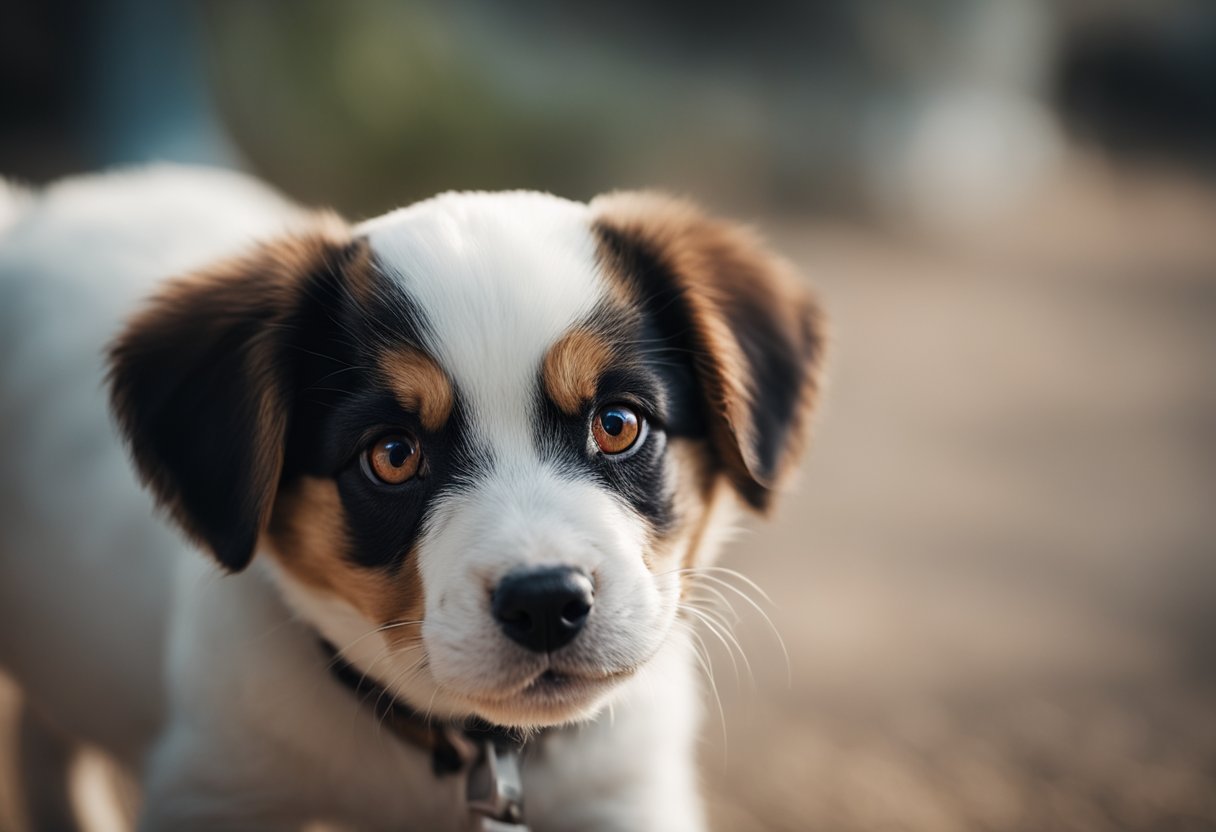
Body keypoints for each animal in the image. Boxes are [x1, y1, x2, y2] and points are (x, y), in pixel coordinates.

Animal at [0, 165, 826, 827]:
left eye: (618, 424)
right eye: (393, 456)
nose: (546, 604)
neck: (468, 754)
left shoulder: (622, 796)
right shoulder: (221, 785)